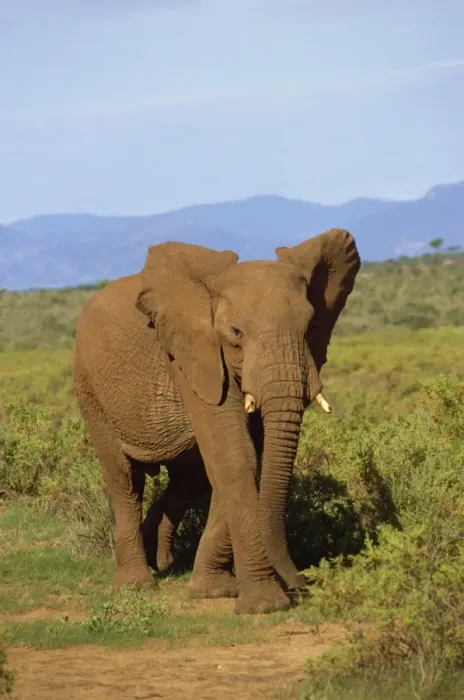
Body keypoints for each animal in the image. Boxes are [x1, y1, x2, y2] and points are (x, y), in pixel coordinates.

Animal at [72, 227, 361, 614]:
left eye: (312, 326)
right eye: (236, 333)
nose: (304, 584)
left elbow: (244, 457)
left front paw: (214, 591)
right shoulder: (192, 357)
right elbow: (236, 456)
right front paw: (265, 606)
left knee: (189, 476)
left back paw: (160, 559)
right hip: (90, 389)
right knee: (125, 479)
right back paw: (136, 584)